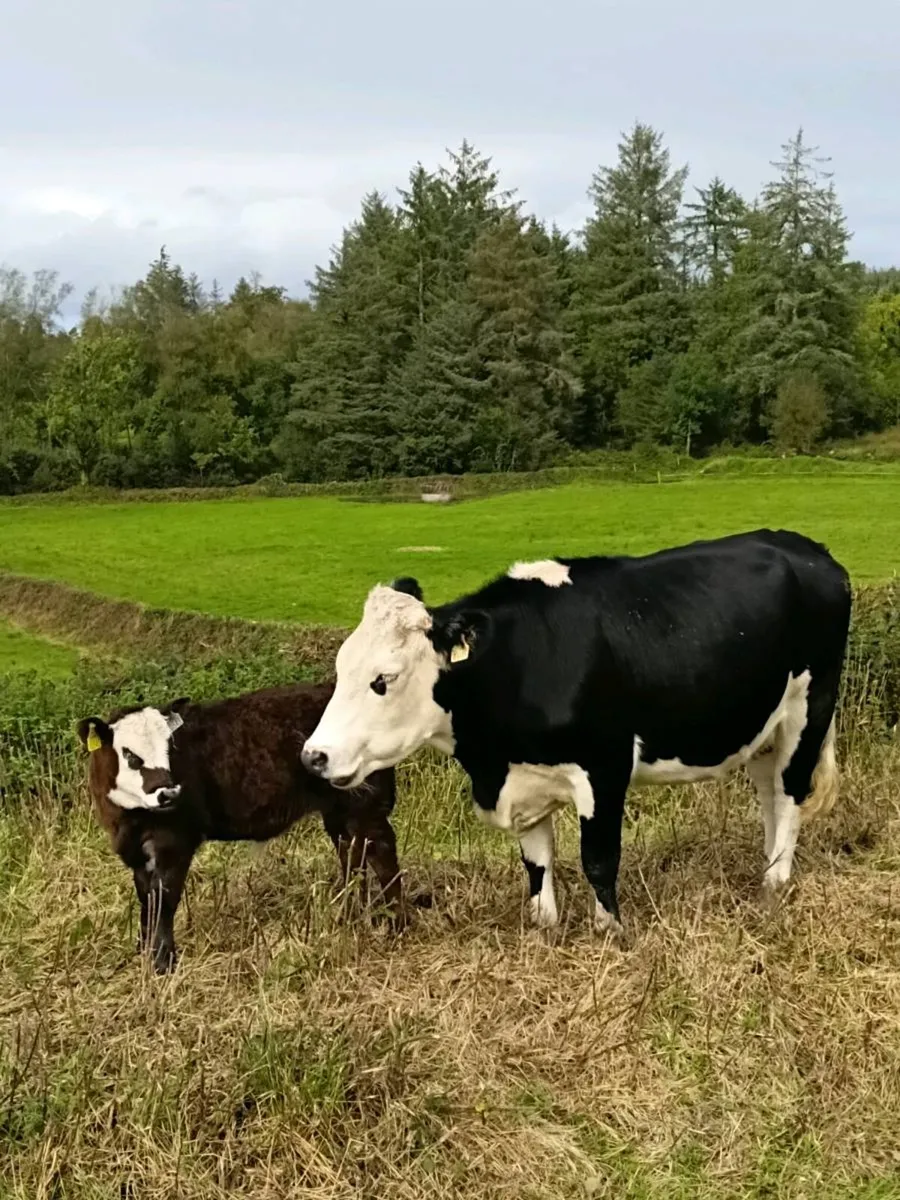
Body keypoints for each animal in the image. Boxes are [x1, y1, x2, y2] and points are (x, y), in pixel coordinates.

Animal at [78, 682, 403, 972]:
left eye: (171, 747)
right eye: (130, 754)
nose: (169, 792)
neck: (128, 818)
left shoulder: (175, 840)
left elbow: (164, 899)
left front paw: (163, 964)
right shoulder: (133, 849)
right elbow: (146, 898)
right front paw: (143, 951)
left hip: (364, 801)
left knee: (382, 852)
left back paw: (396, 924)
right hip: (338, 809)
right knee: (352, 855)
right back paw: (350, 915)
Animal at [300, 529, 852, 938]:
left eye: (383, 679)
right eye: (341, 667)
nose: (314, 756)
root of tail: (807, 548)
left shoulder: (605, 766)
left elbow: (599, 859)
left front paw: (613, 933)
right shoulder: (523, 781)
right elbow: (536, 863)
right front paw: (545, 928)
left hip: (809, 707)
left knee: (791, 794)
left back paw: (775, 884)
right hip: (762, 726)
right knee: (770, 793)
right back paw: (764, 870)